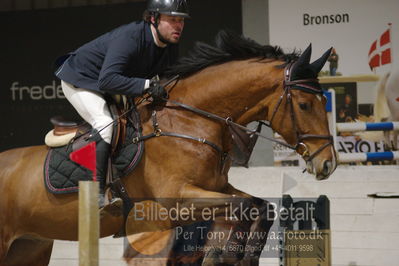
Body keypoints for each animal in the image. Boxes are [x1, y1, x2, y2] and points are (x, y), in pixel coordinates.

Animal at [0, 30, 338, 264]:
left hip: (29, 246)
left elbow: (259, 206)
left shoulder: (216, 187)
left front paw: (239, 254)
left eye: (324, 100)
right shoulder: (178, 198)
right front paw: (223, 254)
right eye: (305, 105)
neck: (189, 120)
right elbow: (243, 206)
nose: (328, 164)